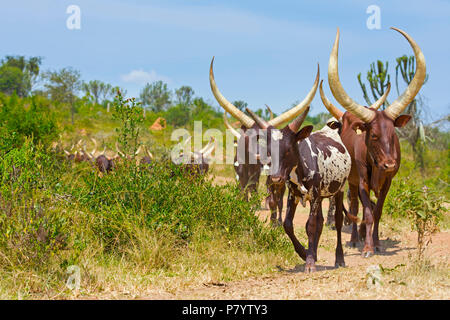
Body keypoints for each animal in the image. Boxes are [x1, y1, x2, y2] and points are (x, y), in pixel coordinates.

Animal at [320, 27, 426, 258]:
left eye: (393, 134)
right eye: (374, 135)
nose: (390, 164)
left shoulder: (387, 183)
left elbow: (377, 212)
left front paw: (376, 243)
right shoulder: (362, 181)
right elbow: (366, 212)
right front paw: (367, 247)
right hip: (351, 181)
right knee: (354, 206)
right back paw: (354, 239)